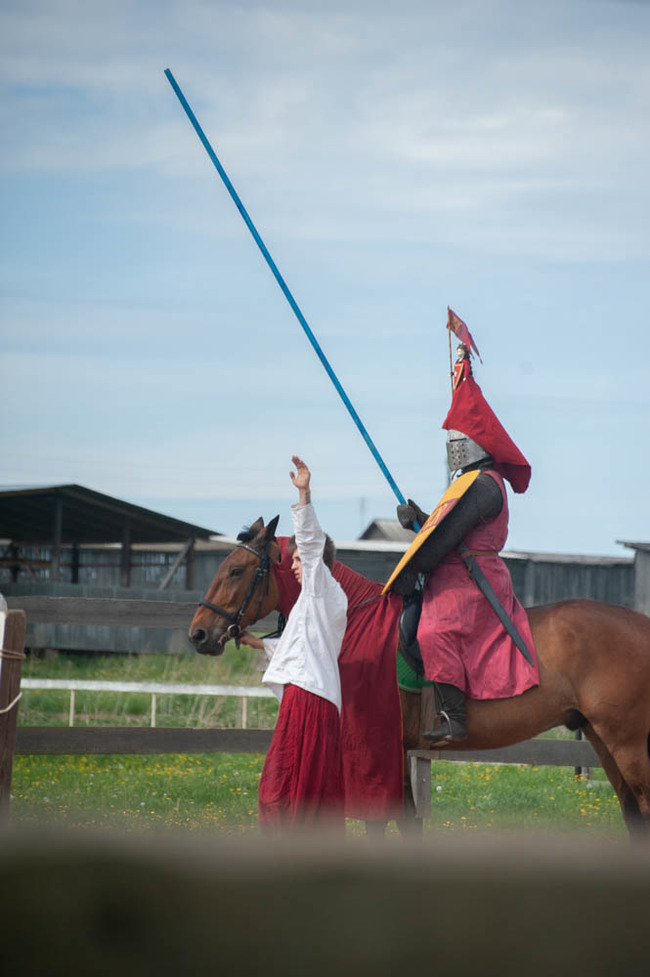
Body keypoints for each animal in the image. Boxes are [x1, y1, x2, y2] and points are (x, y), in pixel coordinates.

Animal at [187, 520, 648, 840]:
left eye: (237, 570)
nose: (199, 634)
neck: (351, 619)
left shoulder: (373, 754)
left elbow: (378, 823)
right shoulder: (403, 753)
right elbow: (409, 825)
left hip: (628, 743)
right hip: (603, 740)